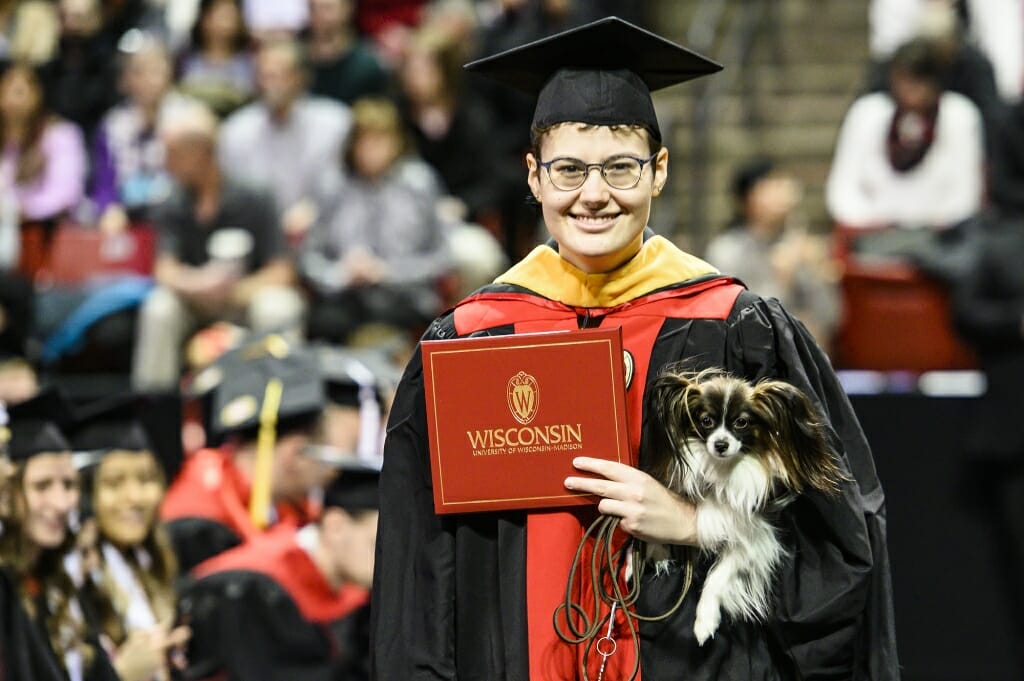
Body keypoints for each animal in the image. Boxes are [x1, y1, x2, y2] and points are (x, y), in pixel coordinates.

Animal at [643, 366, 843, 643]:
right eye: (706, 421)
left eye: (741, 422)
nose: (721, 444)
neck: (724, 469)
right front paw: (653, 553)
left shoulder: (753, 537)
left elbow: (717, 576)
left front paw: (705, 620)